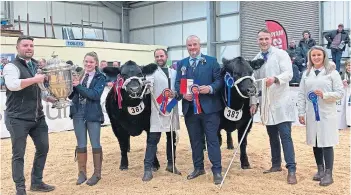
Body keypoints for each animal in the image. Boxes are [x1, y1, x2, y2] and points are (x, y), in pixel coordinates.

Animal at [104, 57, 264, 171]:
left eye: (251, 72)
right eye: (122, 74)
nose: (251, 90)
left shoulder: (246, 124)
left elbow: (243, 144)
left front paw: (245, 163)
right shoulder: (117, 126)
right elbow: (124, 145)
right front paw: (124, 164)